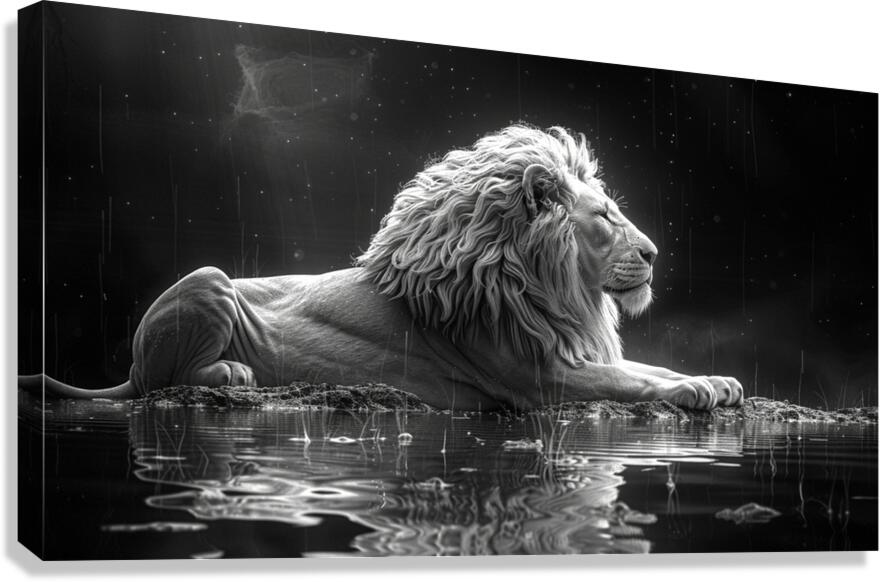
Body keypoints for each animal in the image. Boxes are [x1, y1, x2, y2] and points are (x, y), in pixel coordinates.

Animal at [23, 125, 742, 410]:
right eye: (605, 218)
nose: (653, 254)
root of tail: (131, 359)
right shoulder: (539, 379)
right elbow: (633, 382)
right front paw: (695, 388)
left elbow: (647, 367)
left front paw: (718, 380)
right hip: (208, 279)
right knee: (162, 382)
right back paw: (231, 371)